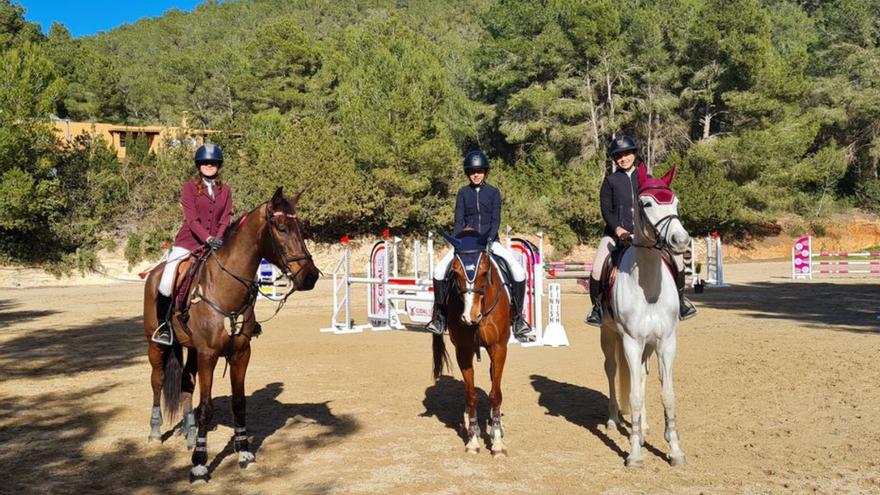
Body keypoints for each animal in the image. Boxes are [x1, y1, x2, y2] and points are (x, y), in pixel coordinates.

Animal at [143, 188, 322, 482]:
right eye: (282, 228)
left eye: (302, 229)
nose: (310, 277)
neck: (225, 287)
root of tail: (154, 273)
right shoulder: (209, 355)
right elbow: (206, 408)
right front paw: (200, 464)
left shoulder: (240, 353)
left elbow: (239, 403)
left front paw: (244, 452)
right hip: (156, 346)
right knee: (157, 381)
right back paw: (156, 431)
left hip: (192, 351)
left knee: (186, 384)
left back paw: (190, 434)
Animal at [432, 232, 508, 458]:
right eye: (455, 271)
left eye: (484, 271)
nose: (470, 317)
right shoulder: (463, 351)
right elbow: (471, 395)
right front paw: (473, 439)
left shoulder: (499, 349)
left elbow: (495, 395)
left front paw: (497, 442)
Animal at [600, 164, 692, 468]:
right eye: (647, 204)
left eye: (676, 202)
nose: (681, 241)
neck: (648, 287)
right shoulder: (630, 341)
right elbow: (635, 396)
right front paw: (634, 455)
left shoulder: (665, 342)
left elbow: (667, 395)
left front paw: (674, 451)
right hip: (609, 335)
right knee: (612, 370)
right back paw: (613, 420)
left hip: (648, 346)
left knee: (641, 374)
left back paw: (644, 429)